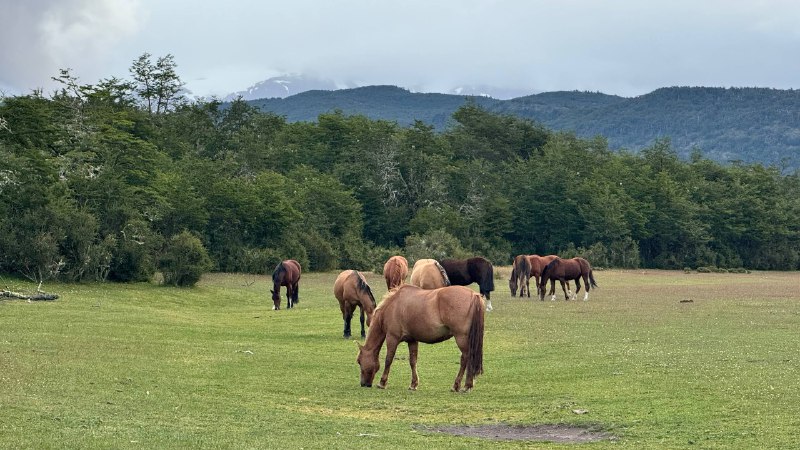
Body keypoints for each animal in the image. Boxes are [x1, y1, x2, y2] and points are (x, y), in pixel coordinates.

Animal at [356, 284, 484, 392]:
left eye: (359, 361)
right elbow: (413, 361)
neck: (393, 305)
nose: (363, 384)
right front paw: (413, 384)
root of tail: (473, 295)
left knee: (465, 359)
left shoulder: (392, 338)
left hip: (461, 338)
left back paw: (461, 385)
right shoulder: (412, 340)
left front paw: (382, 383)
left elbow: (388, 359)